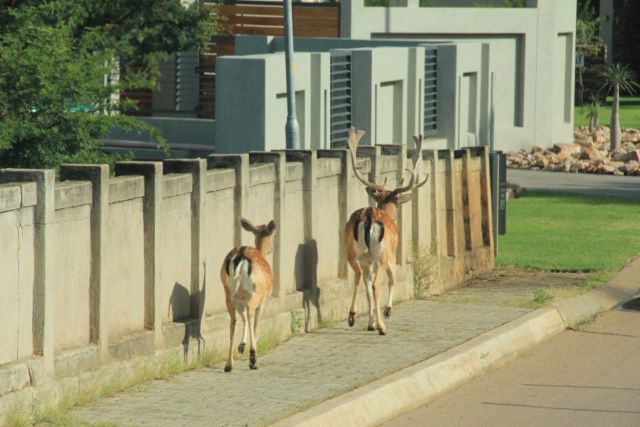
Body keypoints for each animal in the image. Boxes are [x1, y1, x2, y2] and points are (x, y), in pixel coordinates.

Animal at [221, 217, 276, 372]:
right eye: (275, 236)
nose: (272, 249)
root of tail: (240, 256)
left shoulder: (240, 299)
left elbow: (243, 317)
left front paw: (241, 346)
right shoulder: (263, 299)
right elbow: (256, 323)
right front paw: (250, 352)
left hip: (228, 293)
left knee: (233, 321)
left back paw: (228, 364)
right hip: (253, 293)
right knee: (250, 316)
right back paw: (253, 360)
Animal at [344, 129, 430, 336]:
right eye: (397, 201)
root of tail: (368, 215)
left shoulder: (368, 261)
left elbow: (367, 288)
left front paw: (370, 323)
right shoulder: (391, 256)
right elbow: (392, 280)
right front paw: (386, 312)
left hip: (353, 252)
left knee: (360, 278)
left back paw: (352, 316)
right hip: (381, 255)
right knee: (377, 284)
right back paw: (383, 327)